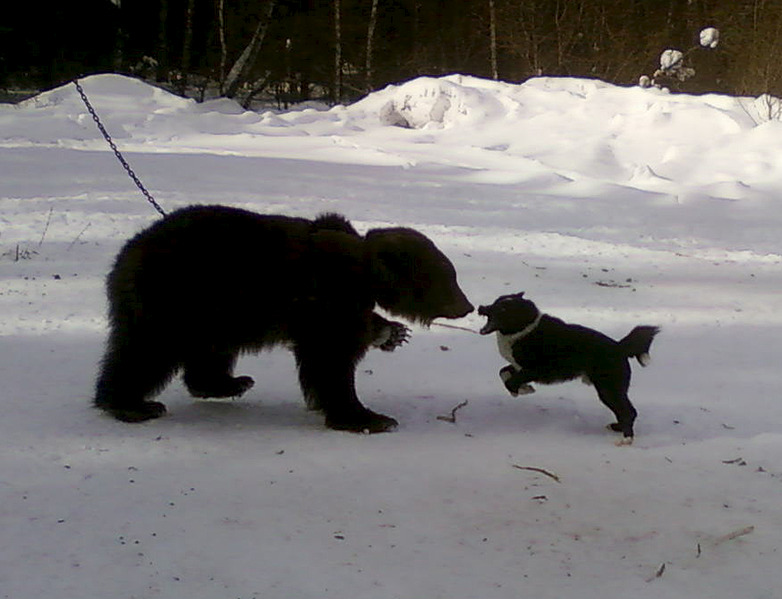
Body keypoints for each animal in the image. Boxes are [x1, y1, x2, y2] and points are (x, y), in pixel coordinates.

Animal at [92, 205, 472, 432]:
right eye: (449, 277)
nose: (467, 306)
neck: (363, 274)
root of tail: (125, 255)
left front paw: (391, 332)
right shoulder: (322, 300)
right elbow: (331, 360)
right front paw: (368, 417)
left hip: (215, 311)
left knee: (208, 351)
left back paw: (229, 382)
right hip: (177, 295)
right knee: (145, 352)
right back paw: (132, 404)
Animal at [480, 292, 660, 442]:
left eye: (503, 308)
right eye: (496, 301)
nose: (481, 308)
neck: (524, 329)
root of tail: (619, 346)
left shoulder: (536, 370)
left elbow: (510, 381)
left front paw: (521, 390)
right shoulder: (519, 367)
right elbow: (503, 372)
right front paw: (523, 388)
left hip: (608, 388)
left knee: (628, 411)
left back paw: (626, 439)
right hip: (610, 389)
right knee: (627, 411)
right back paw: (617, 428)